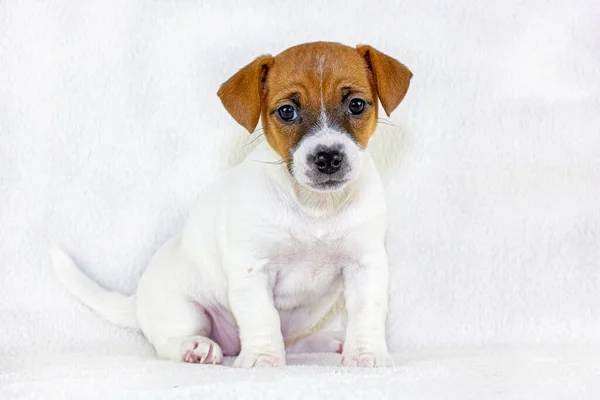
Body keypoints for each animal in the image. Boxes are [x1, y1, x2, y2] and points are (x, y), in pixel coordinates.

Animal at [50, 41, 412, 368]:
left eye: (356, 105)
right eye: (287, 111)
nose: (327, 158)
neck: (315, 207)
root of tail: (136, 301)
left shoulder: (365, 266)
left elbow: (366, 314)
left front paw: (365, 354)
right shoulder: (252, 269)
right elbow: (262, 318)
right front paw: (263, 359)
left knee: (292, 341)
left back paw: (326, 340)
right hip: (184, 309)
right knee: (172, 342)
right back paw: (197, 347)